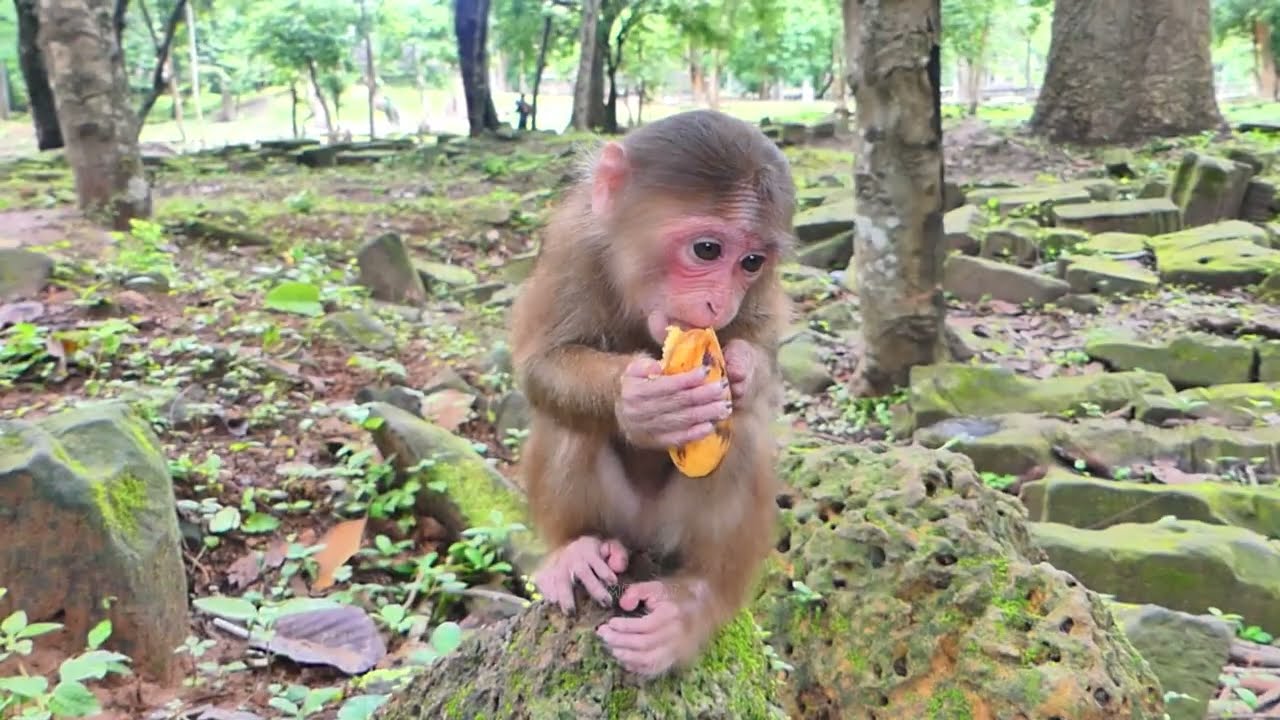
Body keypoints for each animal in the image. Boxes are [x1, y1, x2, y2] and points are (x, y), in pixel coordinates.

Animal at [508, 109, 796, 677]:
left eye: (752, 262)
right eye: (707, 250)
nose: (716, 305)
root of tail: (639, 539)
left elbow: (762, 350)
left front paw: (744, 368)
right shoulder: (574, 242)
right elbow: (539, 365)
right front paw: (638, 403)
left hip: (670, 531)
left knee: (740, 434)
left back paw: (694, 603)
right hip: (619, 520)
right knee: (570, 425)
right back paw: (578, 551)